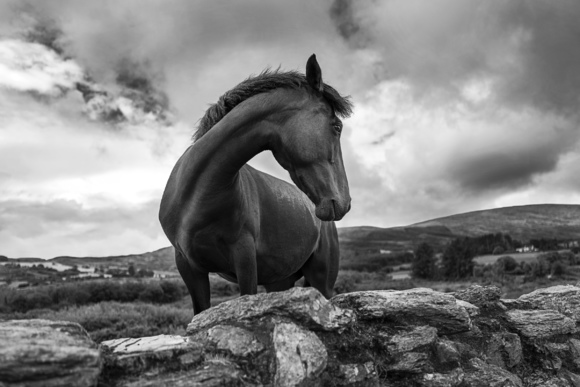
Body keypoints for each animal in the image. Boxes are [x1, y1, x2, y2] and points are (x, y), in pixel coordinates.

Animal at [156, 54, 352, 316]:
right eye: (336, 126)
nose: (344, 202)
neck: (197, 195)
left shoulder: (245, 258)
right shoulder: (188, 266)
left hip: (322, 281)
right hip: (279, 281)